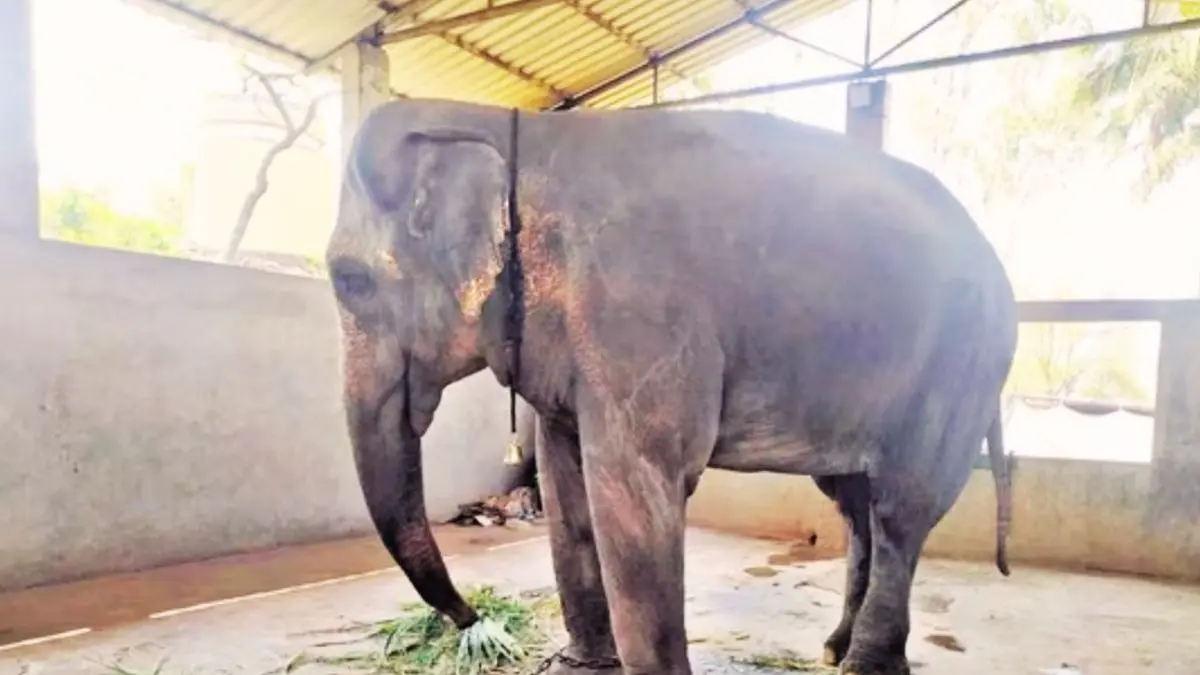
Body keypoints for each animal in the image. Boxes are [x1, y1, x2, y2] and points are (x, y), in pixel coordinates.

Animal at [325, 97, 1017, 675]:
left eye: (348, 280)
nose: (474, 618)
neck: (507, 127)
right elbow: (564, 481)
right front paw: (579, 667)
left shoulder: (640, 318)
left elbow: (636, 489)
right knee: (854, 504)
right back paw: (833, 650)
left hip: (963, 362)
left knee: (902, 508)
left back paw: (865, 666)